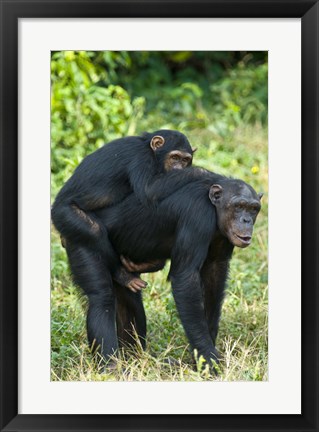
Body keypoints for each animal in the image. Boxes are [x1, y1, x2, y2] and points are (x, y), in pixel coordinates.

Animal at [52, 128, 196, 290]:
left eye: (185, 160)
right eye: (175, 157)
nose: (179, 168)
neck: (152, 152)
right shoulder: (141, 157)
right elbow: (149, 190)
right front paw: (203, 173)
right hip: (64, 214)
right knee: (94, 231)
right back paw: (122, 275)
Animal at [65, 168, 262, 368]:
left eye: (253, 209)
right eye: (238, 206)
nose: (246, 220)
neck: (215, 209)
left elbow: (214, 276)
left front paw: (201, 358)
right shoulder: (197, 215)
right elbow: (185, 277)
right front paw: (208, 356)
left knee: (128, 300)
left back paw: (135, 359)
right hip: (81, 237)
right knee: (101, 297)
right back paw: (111, 366)